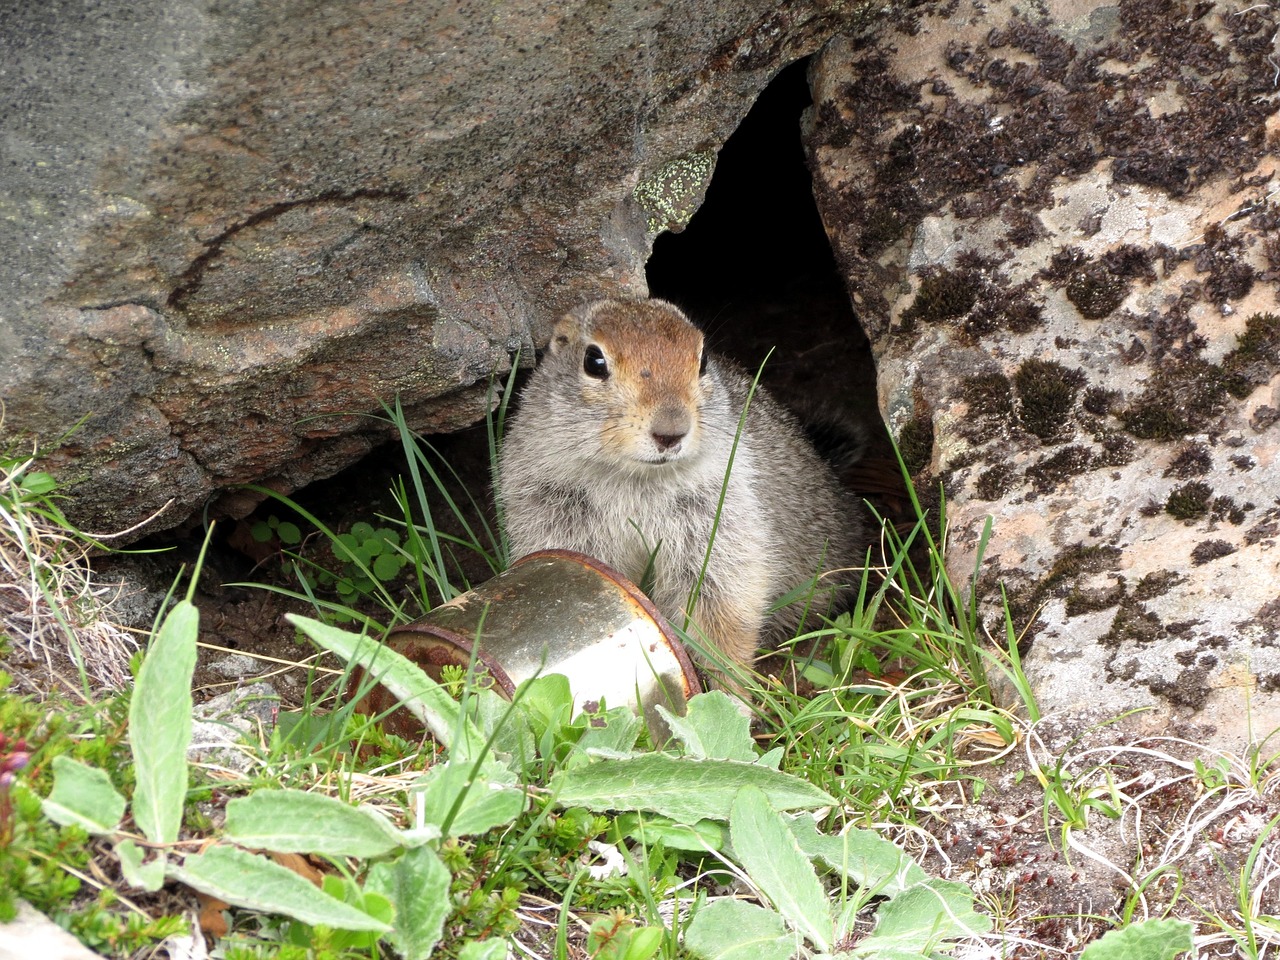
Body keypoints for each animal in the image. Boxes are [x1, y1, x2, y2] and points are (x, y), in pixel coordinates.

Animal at [494, 299, 865, 670]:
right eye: (594, 361)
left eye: (703, 360)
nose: (671, 431)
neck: (633, 477)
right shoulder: (552, 505)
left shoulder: (718, 516)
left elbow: (721, 603)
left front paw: (728, 681)